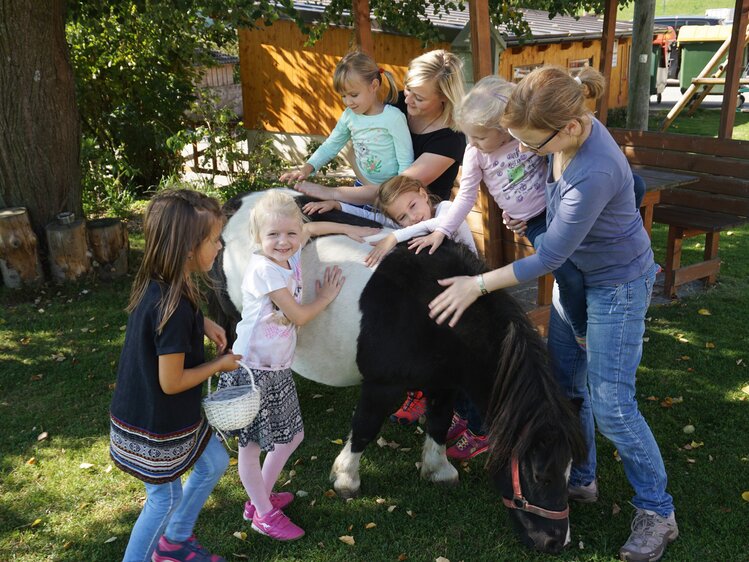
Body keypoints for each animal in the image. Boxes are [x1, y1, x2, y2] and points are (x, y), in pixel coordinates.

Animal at [209, 189, 584, 552]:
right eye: (540, 475)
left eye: (569, 473)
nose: (556, 542)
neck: (433, 306)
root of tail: (235, 205)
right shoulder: (382, 386)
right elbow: (364, 427)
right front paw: (346, 479)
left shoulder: (444, 384)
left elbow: (438, 422)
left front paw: (438, 470)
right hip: (231, 323)